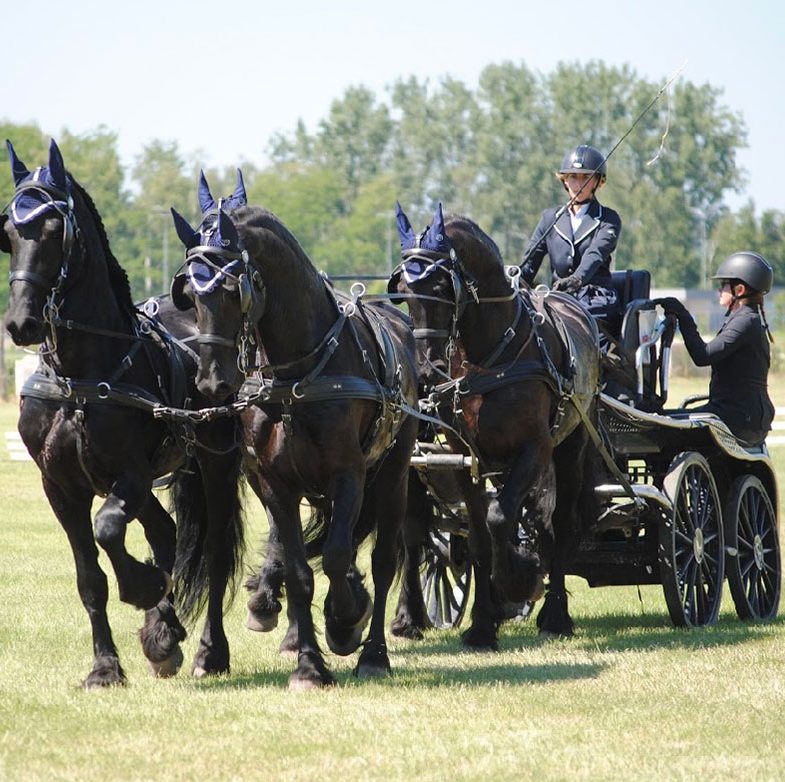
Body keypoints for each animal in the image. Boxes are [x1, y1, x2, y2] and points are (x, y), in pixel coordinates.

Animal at [0, 139, 242, 688]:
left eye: (55, 228)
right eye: (9, 231)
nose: (21, 323)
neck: (80, 378)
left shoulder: (128, 474)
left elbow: (109, 529)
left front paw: (143, 586)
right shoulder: (59, 486)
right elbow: (90, 577)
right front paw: (105, 667)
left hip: (215, 464)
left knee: (212, 553)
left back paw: (207, 649)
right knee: (164, 532)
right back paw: (163, 634)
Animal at [168, 201, 420, 688]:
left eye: (233, 289)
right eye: (188, 292)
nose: (211, 381)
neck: (298, 376)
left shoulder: (349, 474)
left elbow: (338, 555)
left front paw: (344, 619)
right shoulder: (276, 483)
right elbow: (300, 570)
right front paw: (309, 664)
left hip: (394, 473)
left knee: (382, 558)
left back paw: (373, 650)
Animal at [388, 204, 600, 648]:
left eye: (441, 285)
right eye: (405, 291)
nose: (425, 370)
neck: (489, 355)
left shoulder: (535, 449)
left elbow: (502, 517)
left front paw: (517, 581)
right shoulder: (465, 456)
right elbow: (481, 535)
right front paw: (484, 623)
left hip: (570, 448)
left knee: (559, 525)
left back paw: (556, 614)